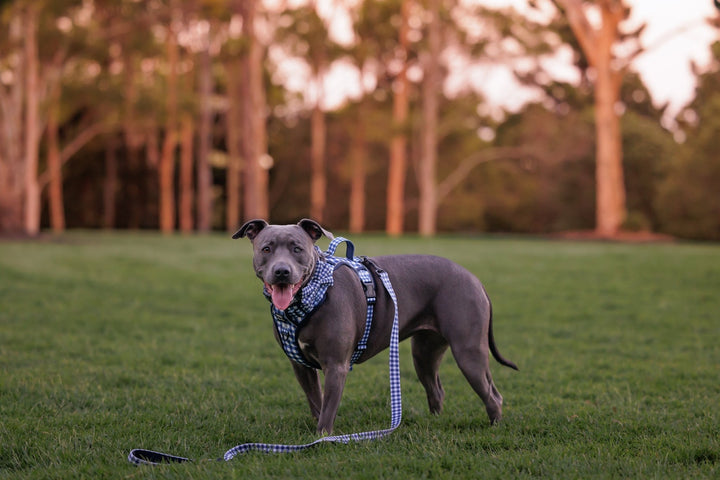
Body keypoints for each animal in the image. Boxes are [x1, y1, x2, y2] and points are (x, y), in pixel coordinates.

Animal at [236, 218, 516, 436]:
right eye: (266, 248)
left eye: (297, 249)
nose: (282, 272)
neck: (312, 294)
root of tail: (474, 279)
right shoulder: (301, 366)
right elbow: (316, 401)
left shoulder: (336, 366)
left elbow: (327, 409)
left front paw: (322, 439)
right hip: (424, 353)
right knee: (436, 389)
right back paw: (434, 422)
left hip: (468, 351)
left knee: (492, 394)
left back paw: (495, 428)